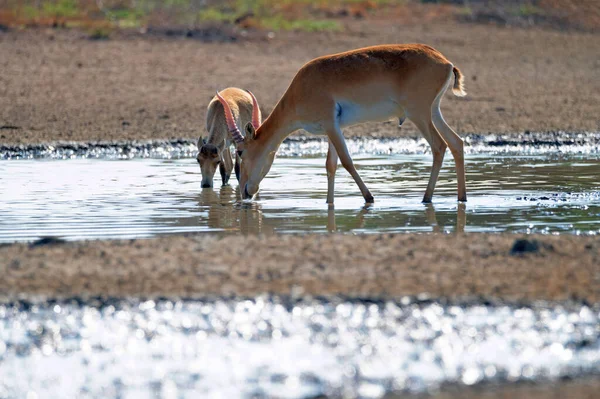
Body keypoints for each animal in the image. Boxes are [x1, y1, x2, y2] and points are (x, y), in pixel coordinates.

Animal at [218, 44, 466, 205]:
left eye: (240, 151)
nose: (245, 192)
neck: (302, 88)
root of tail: (445, 62)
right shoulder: (332, 129)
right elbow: (331, 165)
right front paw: (329, 203)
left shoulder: (331, 125)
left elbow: (346, 161)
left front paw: (369, 198)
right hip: (433, 112)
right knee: (456, 142)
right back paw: (461, 197)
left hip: (419, 114)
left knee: (439, 146)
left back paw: (426, 198)